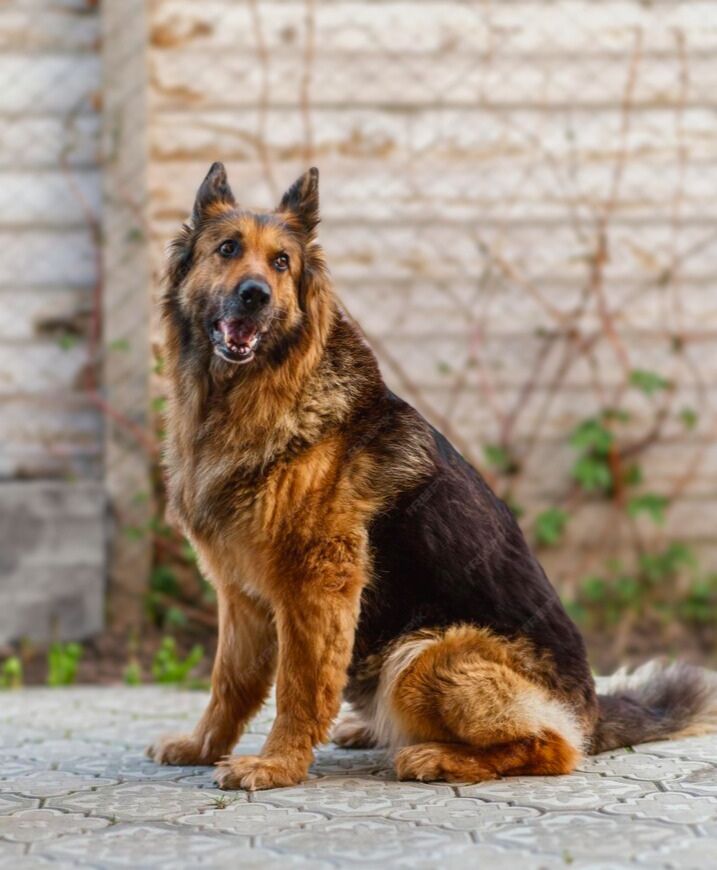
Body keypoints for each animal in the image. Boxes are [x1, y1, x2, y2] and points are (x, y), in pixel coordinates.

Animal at [147, 162, 716, 792]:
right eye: (227, 249)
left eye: (281, 263)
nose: (255, 295)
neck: (252, 396)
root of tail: (589, 708)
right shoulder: (240, 597)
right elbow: (231, 684)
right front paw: (203, 746)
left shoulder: (316, 589)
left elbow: (300, 687)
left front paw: (278, 764)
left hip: (422, 655)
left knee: (553, 746)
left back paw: (436, 756)